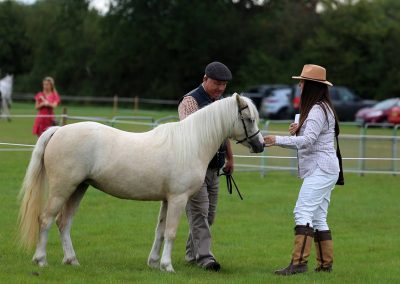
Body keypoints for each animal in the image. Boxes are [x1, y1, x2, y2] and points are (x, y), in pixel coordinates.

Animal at [18, 93, 266, 272]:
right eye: (249, 119)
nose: (260, 145)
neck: (192, 142)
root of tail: (59, 130)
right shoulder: (178, 199)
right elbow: (171, 232)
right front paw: (167, 266)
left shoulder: (167, 200)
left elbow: (160, 231)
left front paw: (154, 263)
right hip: (62, 189)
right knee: (46, 219)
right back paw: (41, 260)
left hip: (79, 188)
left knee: (64, 222)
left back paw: (72, 260)